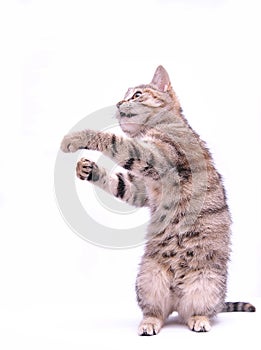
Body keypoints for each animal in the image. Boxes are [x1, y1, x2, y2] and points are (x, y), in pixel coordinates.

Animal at [60, 64, 254, 334]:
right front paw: (88, 169)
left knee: (201, 310)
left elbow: (115, 141)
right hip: (148, 279)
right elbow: (120, 182)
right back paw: (150, 322)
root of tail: (177, 297)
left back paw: (199, 320)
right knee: (157, 311)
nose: (119, 102)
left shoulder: (155, 158)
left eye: (137, 94)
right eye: (125, 95)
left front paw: (76, 138)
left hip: (206, 284)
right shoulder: (140, 188)